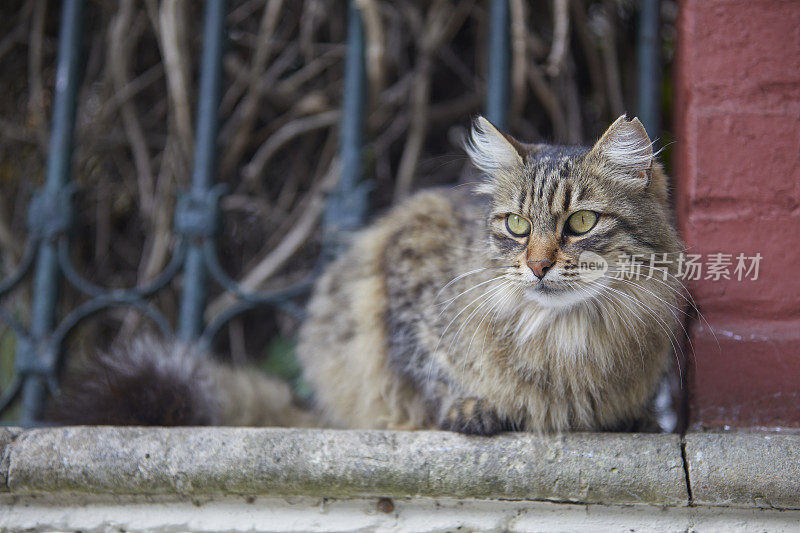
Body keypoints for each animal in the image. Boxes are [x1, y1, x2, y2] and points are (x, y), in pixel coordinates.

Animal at [54, 115, 680, 432]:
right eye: (519, 226)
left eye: (580, 222)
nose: (538, 264)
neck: (563, 336)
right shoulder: (405, 266)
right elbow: (430, 365)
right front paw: (472, 408)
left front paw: (638, 418)